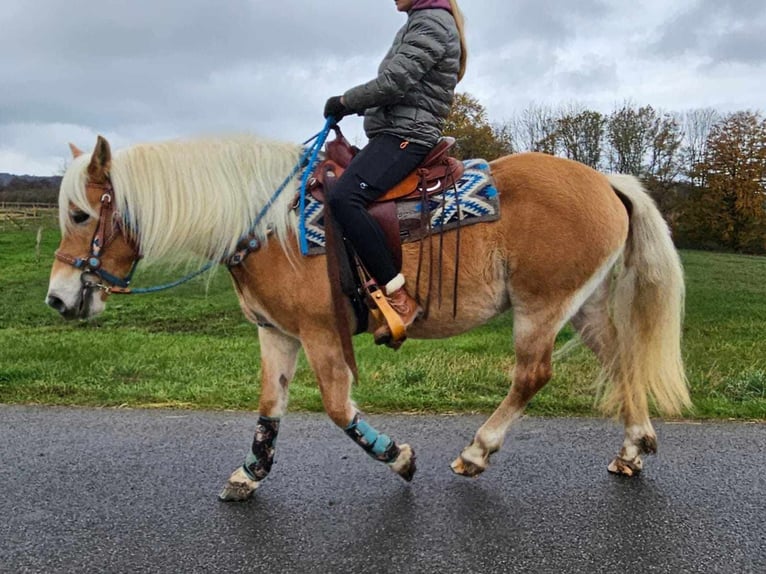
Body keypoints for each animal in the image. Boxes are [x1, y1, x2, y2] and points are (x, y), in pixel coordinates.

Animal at [49, 133, 696, 502]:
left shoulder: (319, 334)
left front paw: (400, 458)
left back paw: (477, 452)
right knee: (622, 358)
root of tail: (605, 180)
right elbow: (269, 408)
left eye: (81, 214)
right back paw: (634, 448)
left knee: (533, 376)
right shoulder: (276, 334)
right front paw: (250, 474)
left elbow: (339, 409)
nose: (56, 299)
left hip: (541, 307)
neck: (268, 224)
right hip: (582, 306)